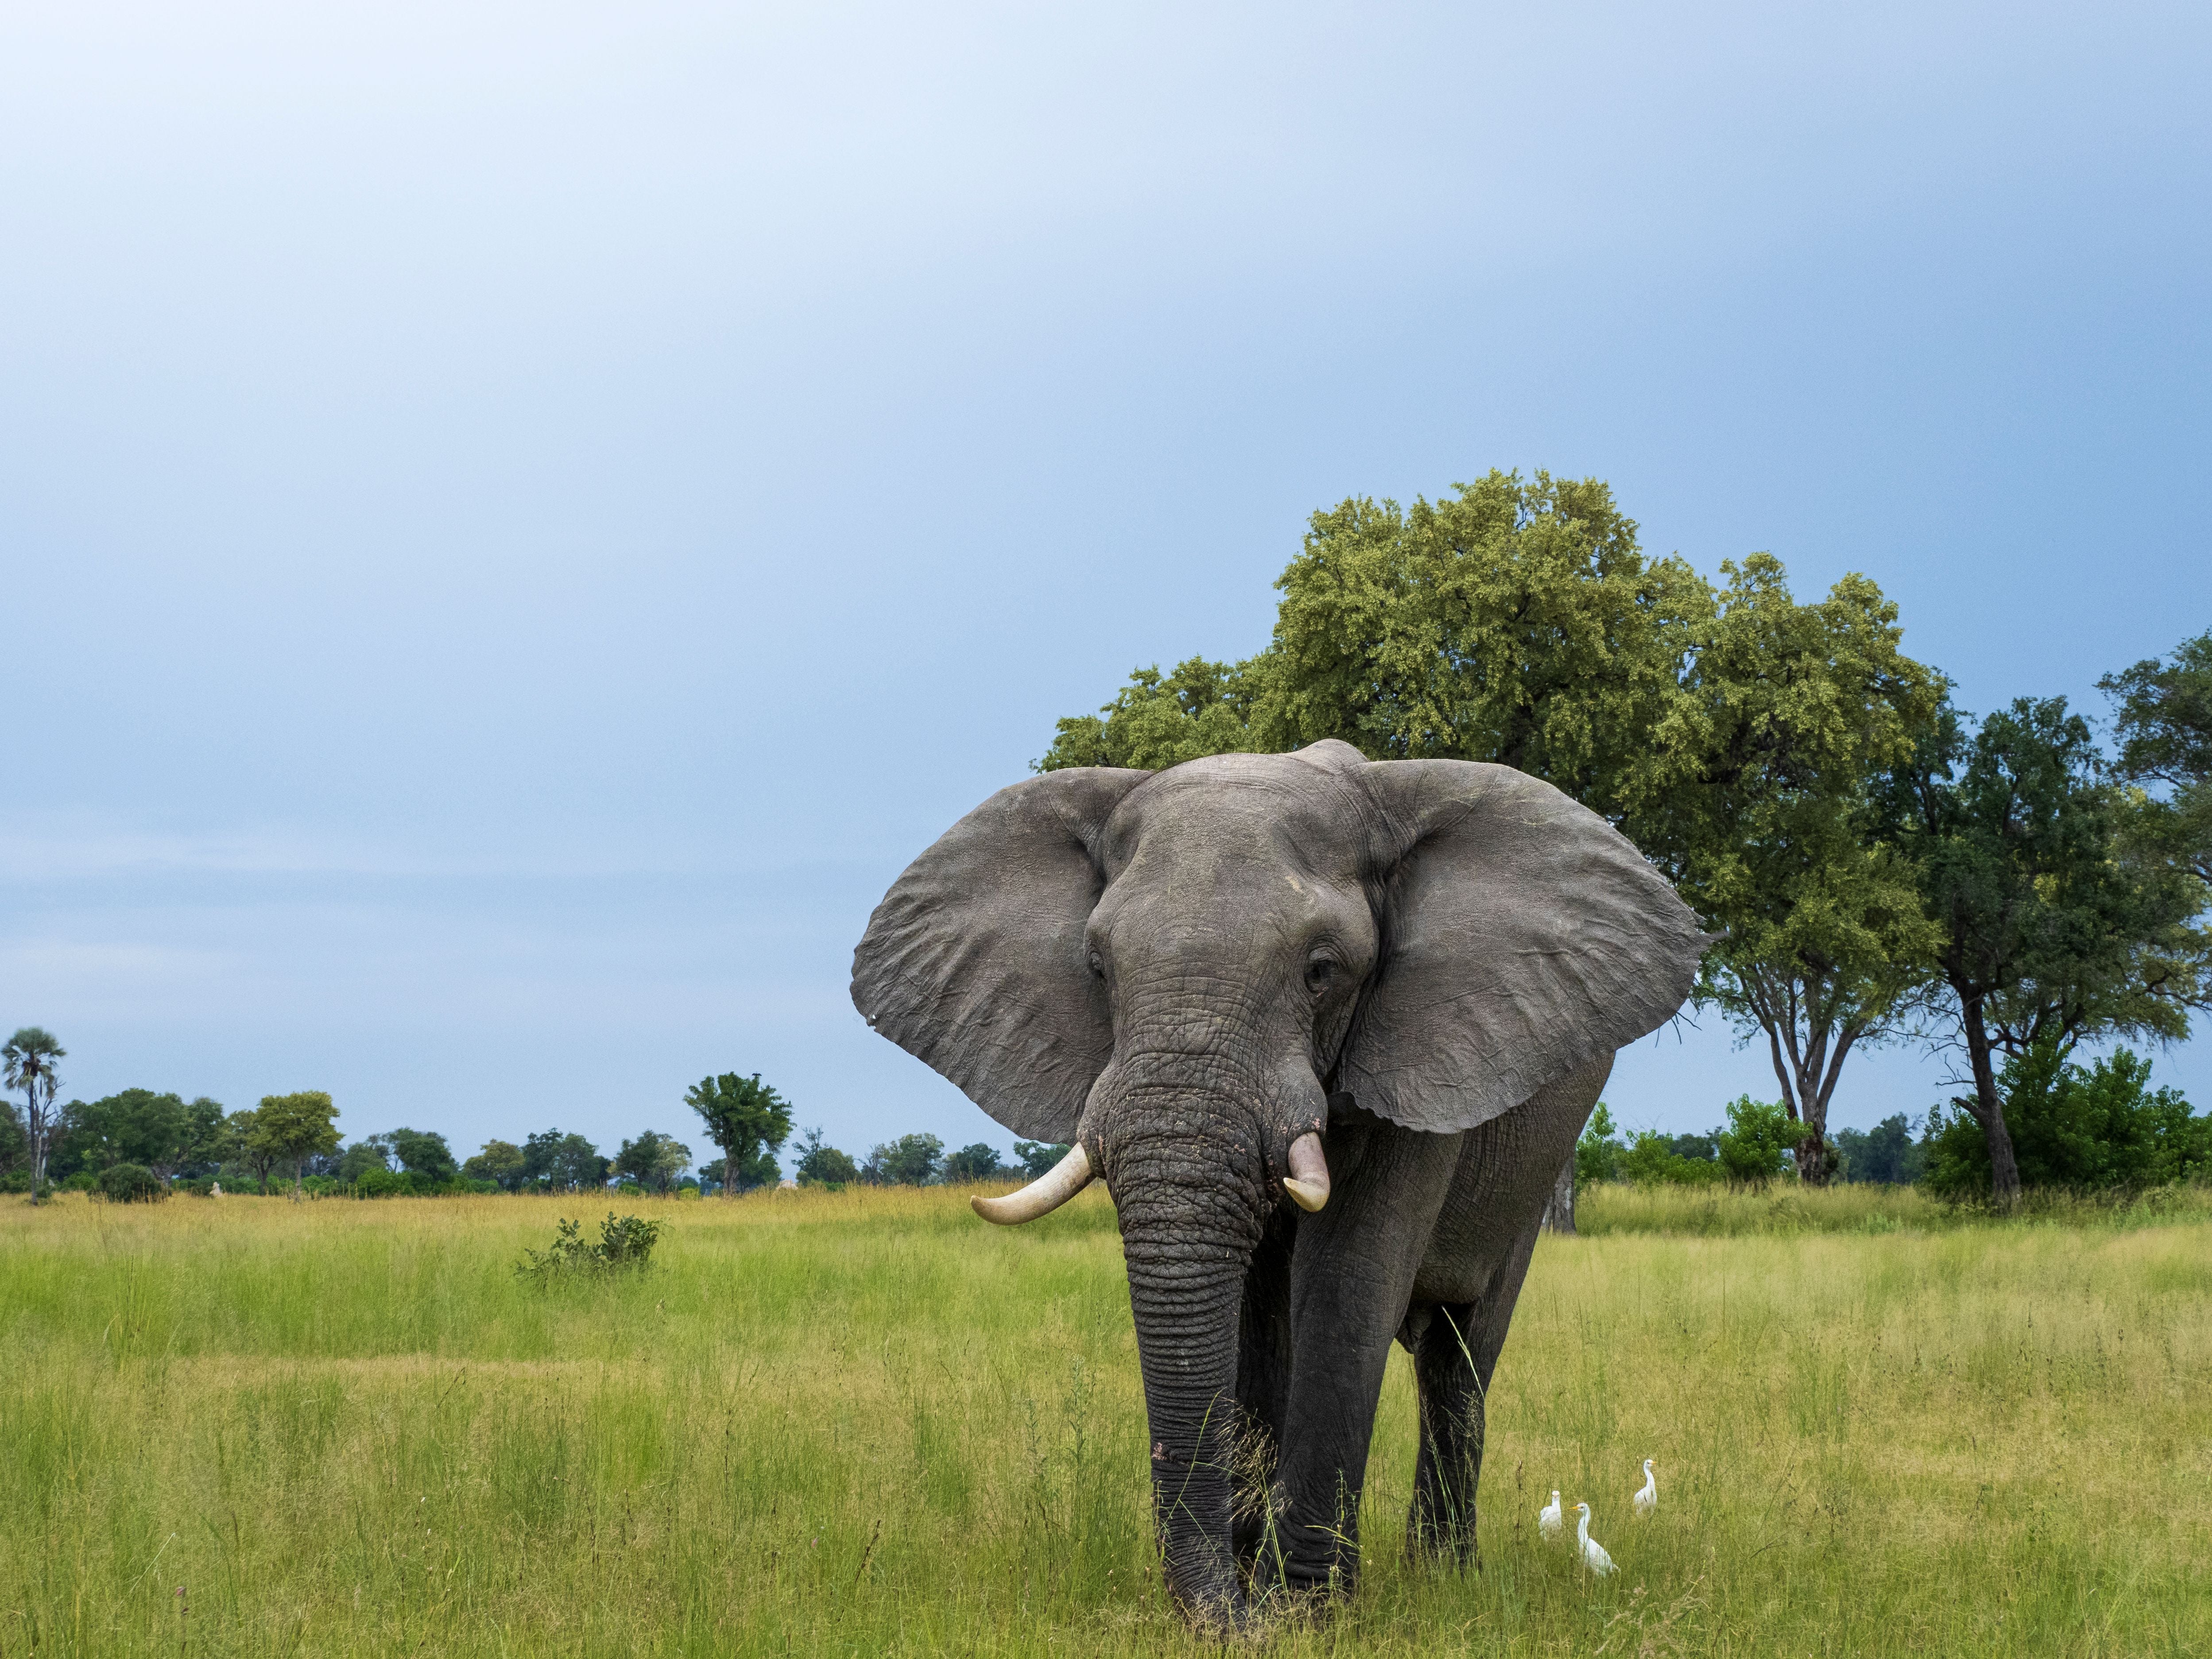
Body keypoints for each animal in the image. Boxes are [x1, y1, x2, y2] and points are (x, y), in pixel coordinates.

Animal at [850, 739, 1705, 1628]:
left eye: (1321, 970)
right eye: (1097, 967)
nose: (1224, 1617)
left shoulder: (1417, 1048)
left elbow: (1345, 1284)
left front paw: (1305, 1613)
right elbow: (1256, 1321)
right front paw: (1255, 1595)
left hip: (1534, 1166)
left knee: (1461, 1350)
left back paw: (1442, 1573)